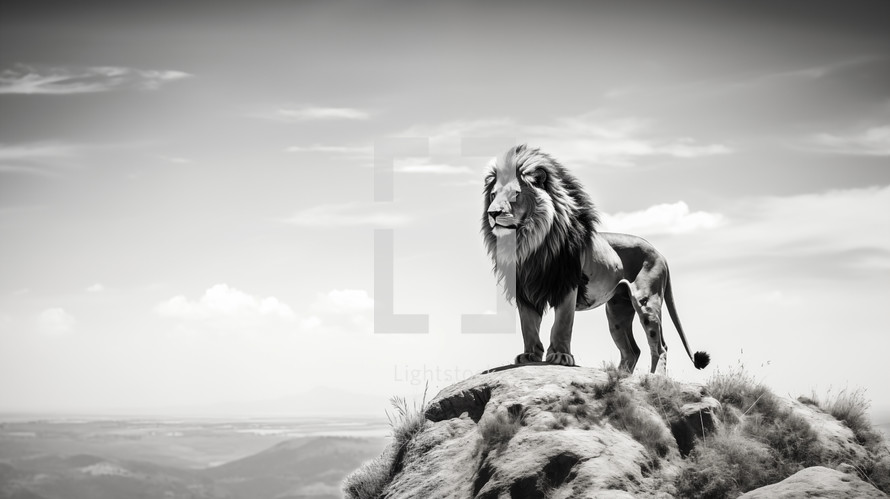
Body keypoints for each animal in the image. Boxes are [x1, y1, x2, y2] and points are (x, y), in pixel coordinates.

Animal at [482, 145, 704, 376]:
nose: (493, 213)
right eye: (493, 195)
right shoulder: (525, 289)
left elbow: (562, 324)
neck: (529, 244)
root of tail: (659, 252)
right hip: (617, 311)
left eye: (515, 195)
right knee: (632, 350)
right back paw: (618, 376)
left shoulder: (567, 285)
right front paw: (529, 355)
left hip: (647, 301)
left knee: (660, 346)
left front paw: (560, 356)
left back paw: (655, 378)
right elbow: (529, 326)